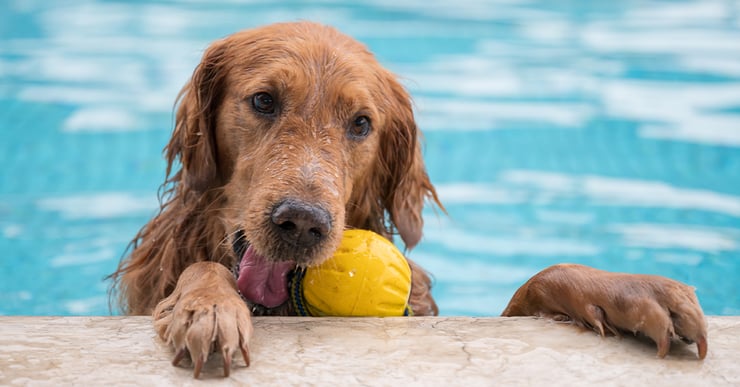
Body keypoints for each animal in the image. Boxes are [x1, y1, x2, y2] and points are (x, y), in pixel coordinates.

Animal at [108, 22, 704, 378]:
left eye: (361, 124)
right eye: (263, 101)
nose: (302, 223)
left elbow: (536, 281)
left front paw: (630, 289)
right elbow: (204, 269)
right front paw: (209, 304)